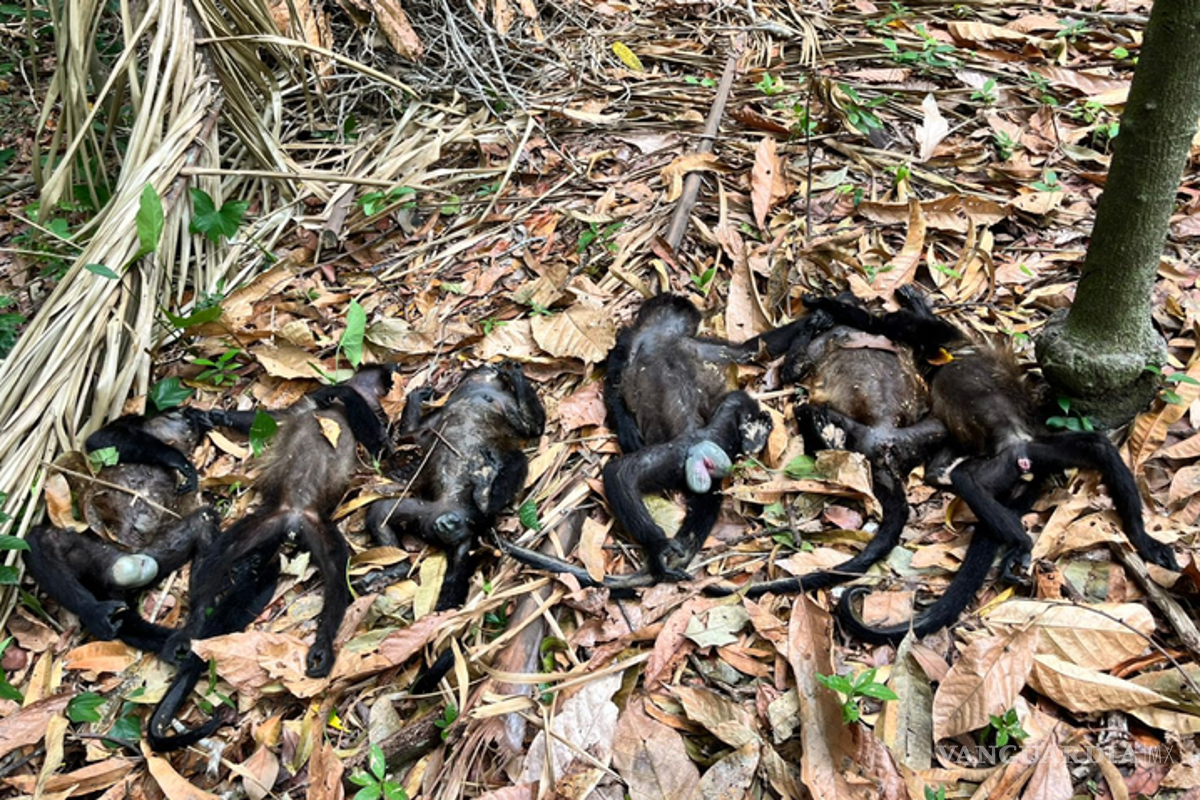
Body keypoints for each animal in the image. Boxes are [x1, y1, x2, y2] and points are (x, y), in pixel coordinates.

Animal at [24, 410, 220, 653]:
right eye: (184, 421)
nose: (190, 418)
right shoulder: (132, 420)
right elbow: (101, 440)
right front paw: (177, 459)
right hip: (99, 557)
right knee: (40, 540)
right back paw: (94, 612)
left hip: (159, 555)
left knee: (204, 523)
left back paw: (200, 618)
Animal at [147, 365, 396, 752]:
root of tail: (293, 519)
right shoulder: (304, 405)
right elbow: (273, 417)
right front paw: (211, 416)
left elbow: (382, 448)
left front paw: (339, 392)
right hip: (265, 520)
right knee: (218, 557)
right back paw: (190, 631)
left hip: (316, 527)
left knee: (336, 575)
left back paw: (322, 646)